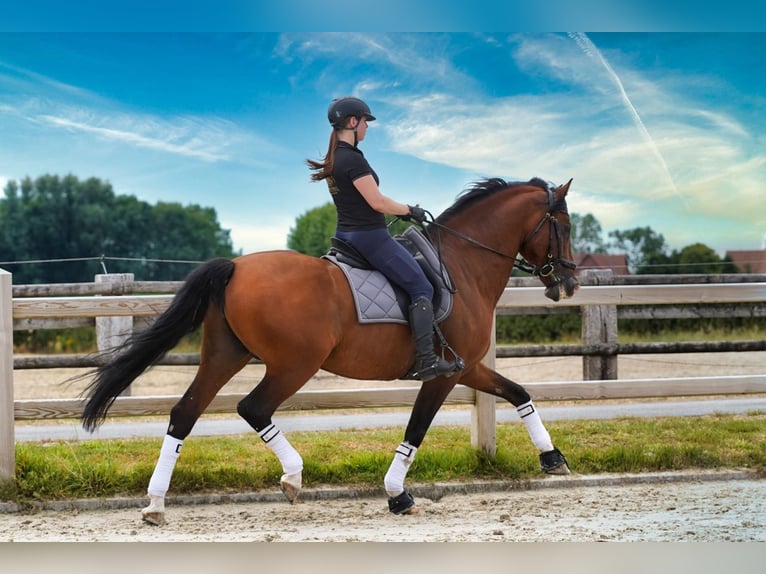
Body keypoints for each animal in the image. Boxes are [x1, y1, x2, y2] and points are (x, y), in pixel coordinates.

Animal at [81, 177, 580, 528]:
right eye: (565, 226)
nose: (570, 283)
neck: (462, 263)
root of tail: (237, 266)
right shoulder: (442, 374)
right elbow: (416, 430)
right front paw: (398, 495)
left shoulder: (467, 367)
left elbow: (517, 392)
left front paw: (552, 458)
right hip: (294, 364)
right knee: (253, 407)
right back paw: (293, 477)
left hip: (225, 355)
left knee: (185, 412)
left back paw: (155, 504)